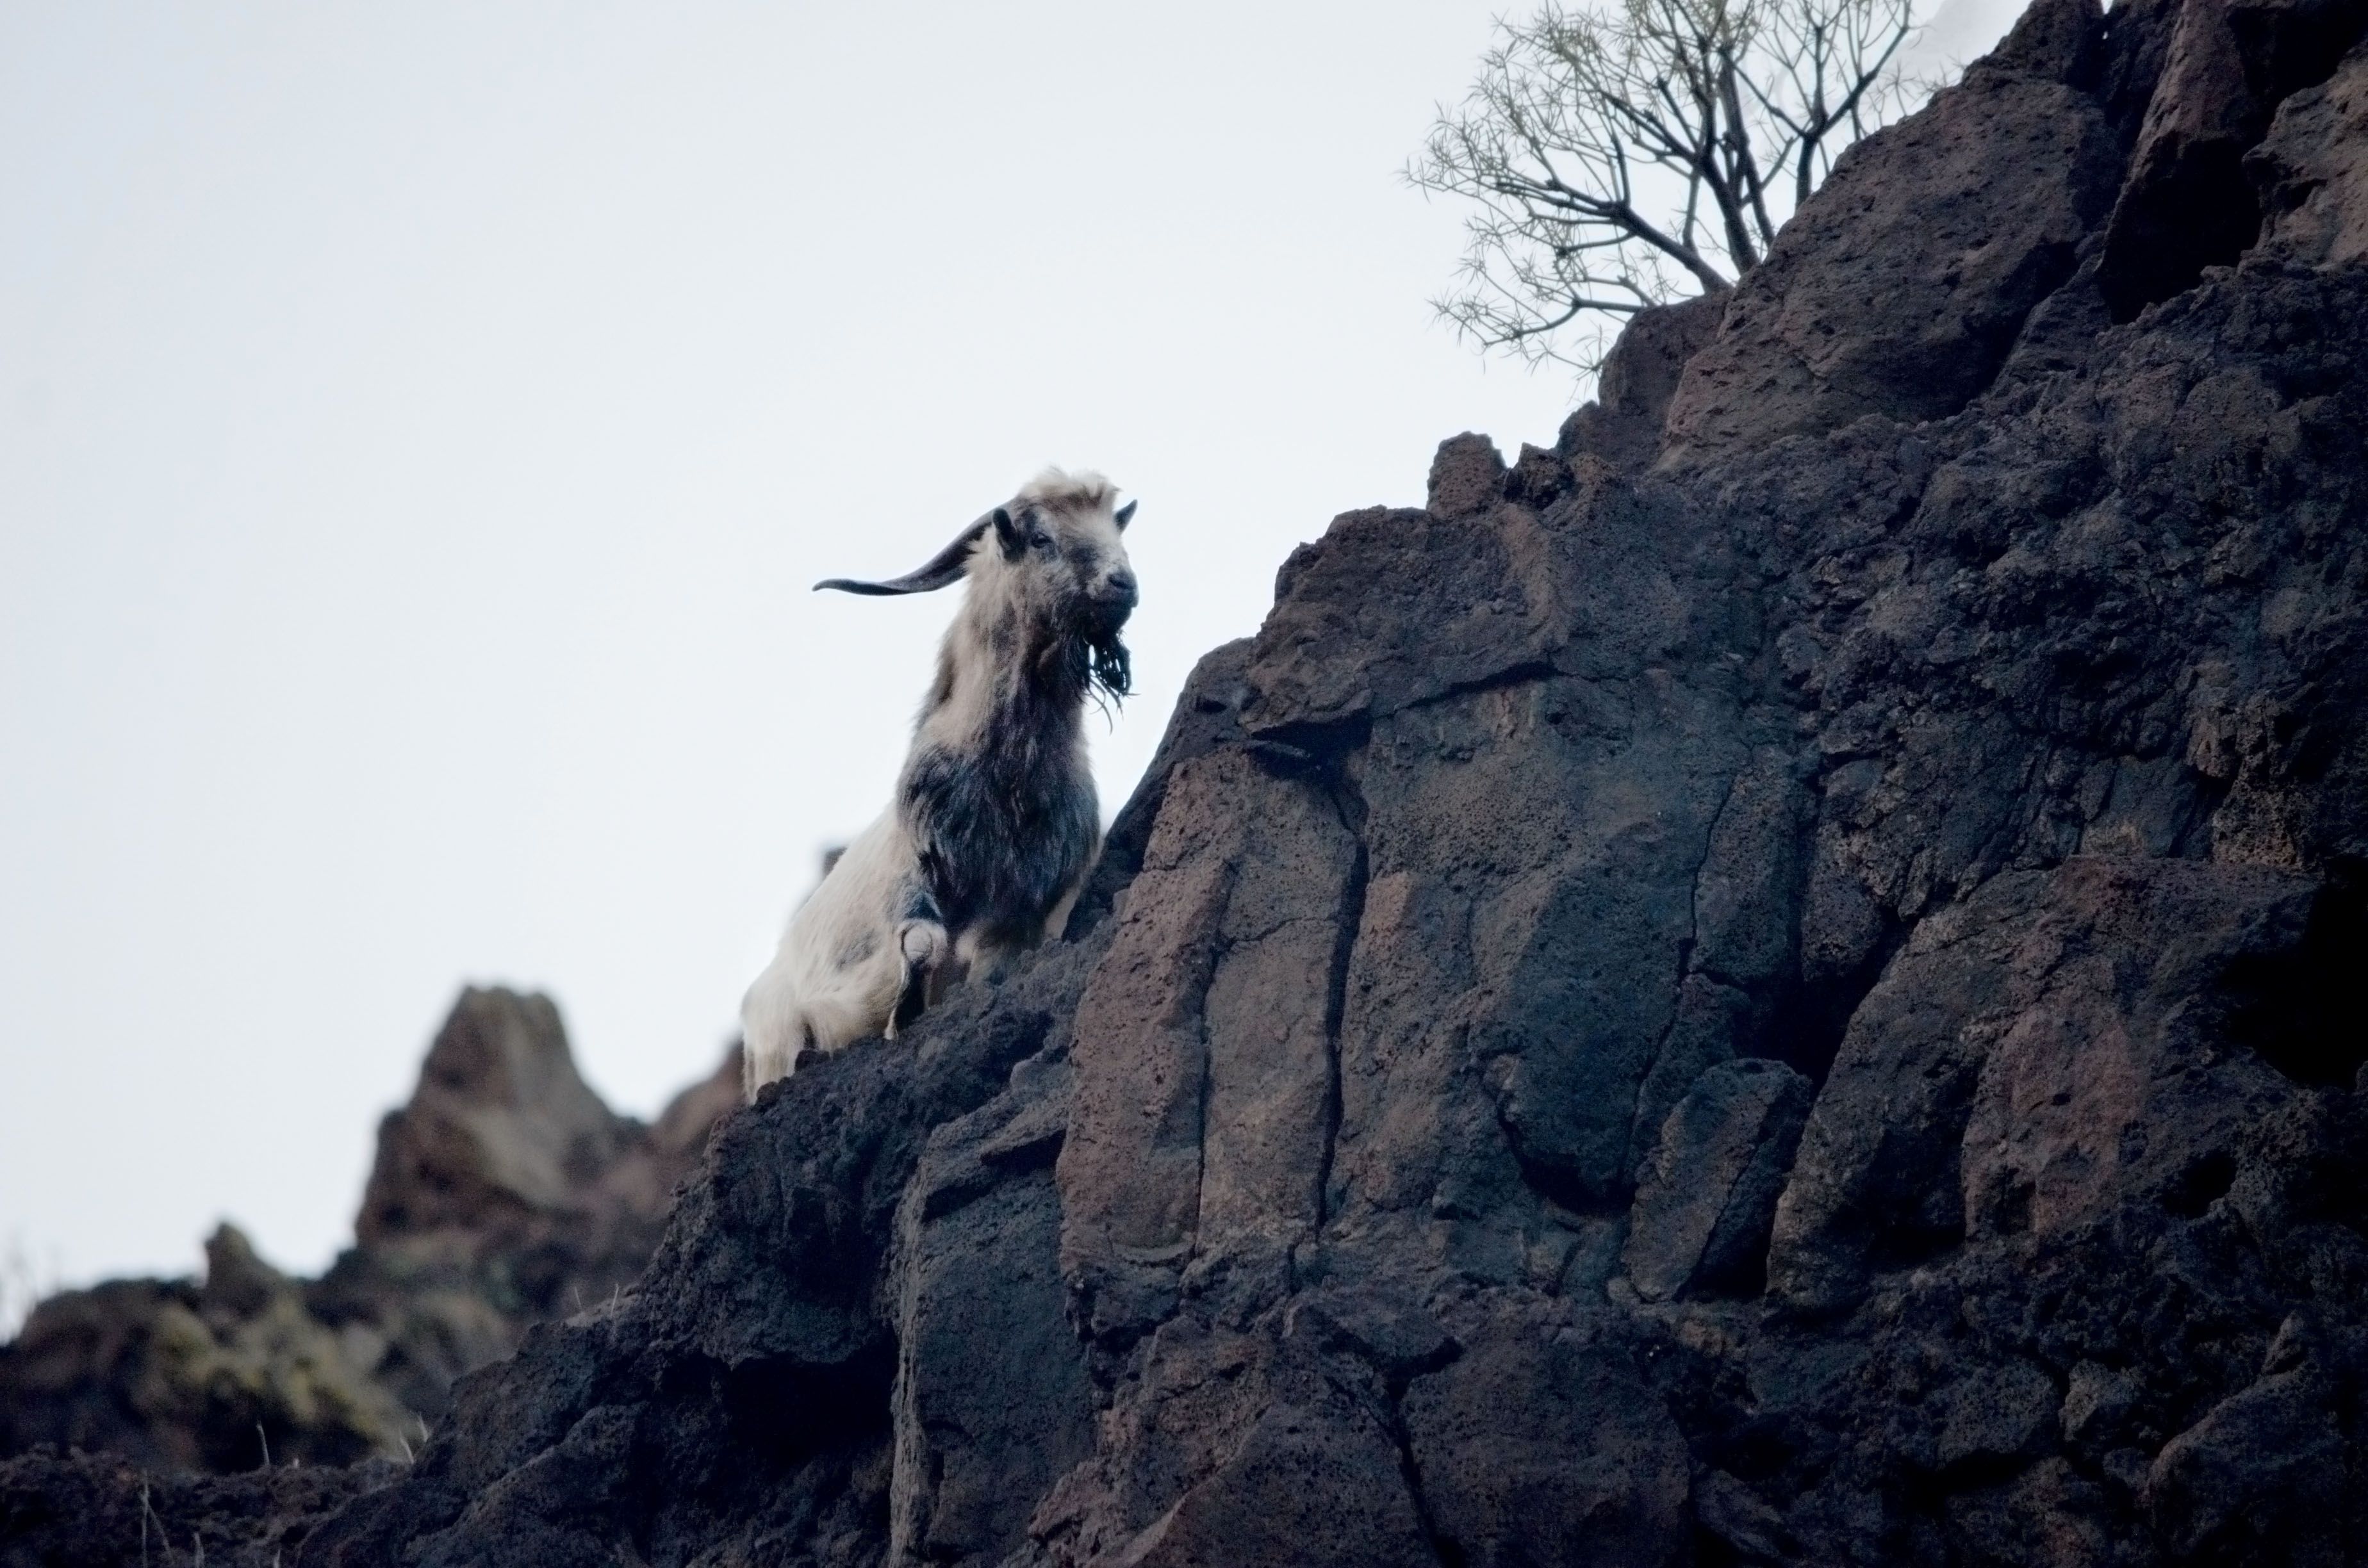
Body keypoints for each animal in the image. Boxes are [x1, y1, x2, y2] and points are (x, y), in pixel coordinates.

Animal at [740, 469, 1138, 1098]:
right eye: (1042, 539)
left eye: (1114, 531)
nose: (1123, 584)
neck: (1006, 788)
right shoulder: (915, 879)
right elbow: (924, 943)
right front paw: (902, 1015)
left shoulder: (1021, 915)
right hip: (777, 1047)